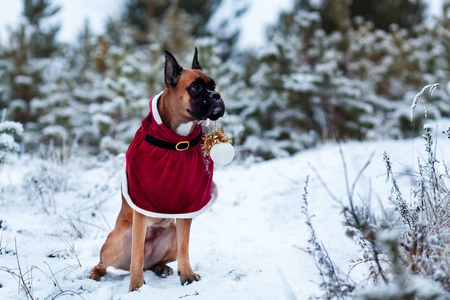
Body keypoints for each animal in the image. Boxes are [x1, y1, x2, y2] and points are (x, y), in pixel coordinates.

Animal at [87, 48, 225, 290]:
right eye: (196, 87)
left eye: (213, 85)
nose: (217, 96)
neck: (178, 140)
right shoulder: (141, 210)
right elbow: (137, 256)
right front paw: (136, 287)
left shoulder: (186, 209)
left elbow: (184, 248)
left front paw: (186, 274)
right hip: (118, 241)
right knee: (107, 262)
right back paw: (95, 275)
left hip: (171, 235)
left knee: (154, 262)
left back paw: (162, 267)